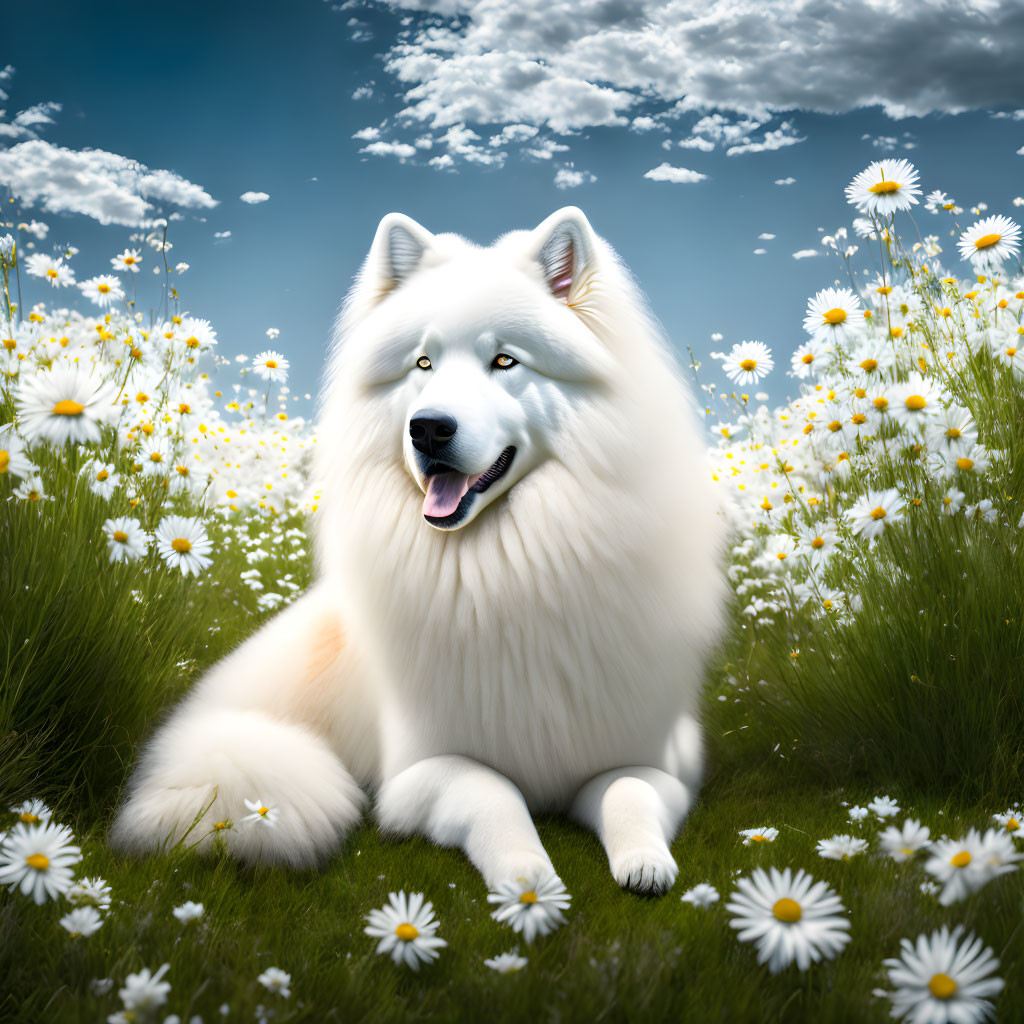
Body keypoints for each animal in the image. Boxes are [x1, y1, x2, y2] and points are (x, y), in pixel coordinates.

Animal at [112, 209, 729, 897]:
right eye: (424, 363)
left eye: (505, 360)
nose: (429, 428)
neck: (508, 572)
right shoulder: (419, 772)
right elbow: (494, 792)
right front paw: (528, 878)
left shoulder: (657, 760)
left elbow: (627, 791)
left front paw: (644, 861)